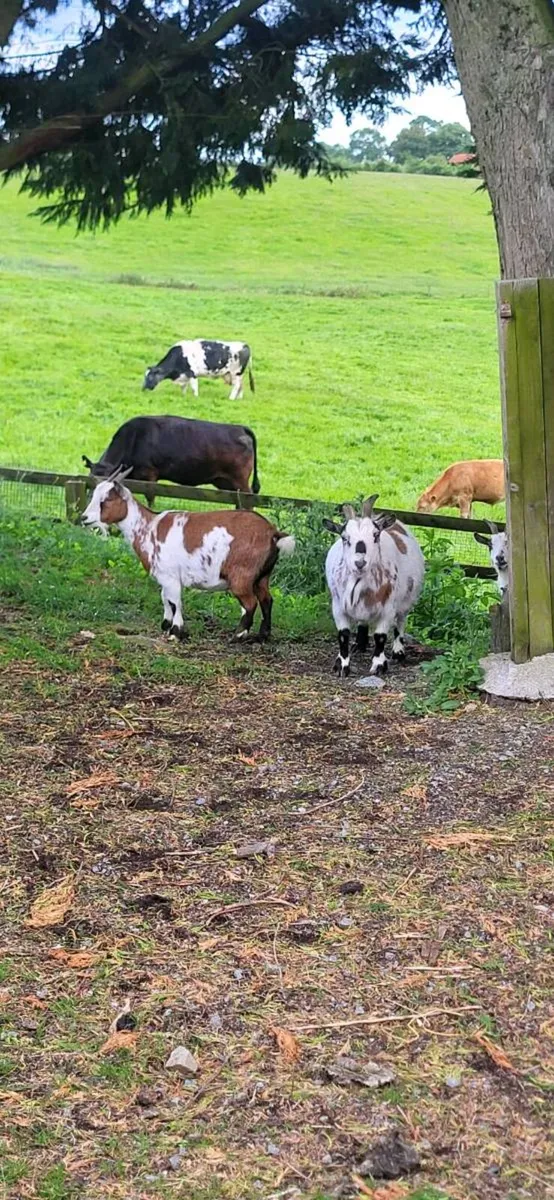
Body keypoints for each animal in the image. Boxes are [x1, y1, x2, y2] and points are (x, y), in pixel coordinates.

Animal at [81, 468, 295, 642]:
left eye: (106, 500)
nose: (84, 518)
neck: (148, 528)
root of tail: (273, 533)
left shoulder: (170, 576)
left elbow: (175, 601)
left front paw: (176, 632)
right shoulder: (165, 577)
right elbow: (165, 598)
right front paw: (166, 626)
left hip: (242, 575)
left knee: (250, 603)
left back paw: (238, 636)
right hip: (262, 576)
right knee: (267, 600)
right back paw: (262, 635)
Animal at [323, 495, 425, 678]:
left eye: (376, 535)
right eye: (344, 537)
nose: (360, 562)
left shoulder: (388, 608)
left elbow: (380, 636)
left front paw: (379, 665)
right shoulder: (338, 606)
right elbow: (343, 635)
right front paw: (341, 665)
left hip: (406, 600)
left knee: (400, 623)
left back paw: (398, 652)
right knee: (363, 623)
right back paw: (359, 645)